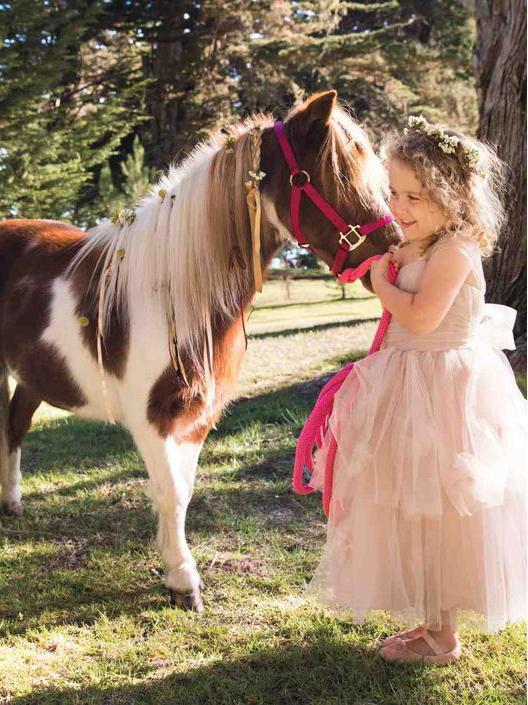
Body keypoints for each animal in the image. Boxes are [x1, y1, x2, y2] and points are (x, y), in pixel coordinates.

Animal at [0, 92, 396, 612]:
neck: (171, 290)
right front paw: (183, 580)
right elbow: (168, 492)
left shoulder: (196, 417)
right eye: (325, 178)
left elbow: (182, 491)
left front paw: (175, 569)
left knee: (15, 425)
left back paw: (11, 502)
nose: (394, 248)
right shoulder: (152, 416)